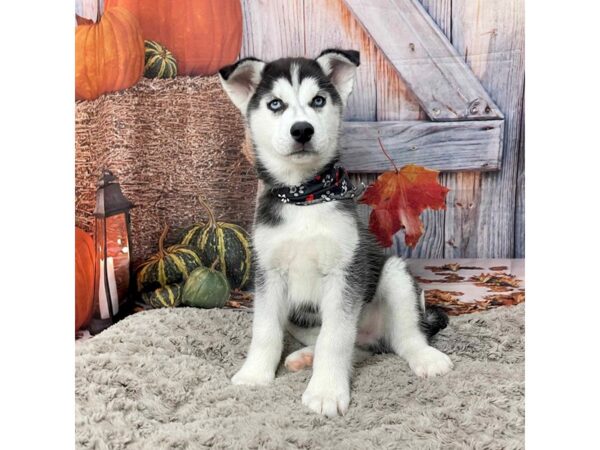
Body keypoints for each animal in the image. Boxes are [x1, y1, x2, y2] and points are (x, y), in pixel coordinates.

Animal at [218, 50, 452, 418]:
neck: (304, 197)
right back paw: (303, 357)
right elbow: (265, 330)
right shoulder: (268, 274)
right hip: (300, 317)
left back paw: (426, 358)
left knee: (403, 339)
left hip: (395, 275)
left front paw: (326, 390)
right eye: (275, 104)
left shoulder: (346, 272)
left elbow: (336, 337)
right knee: (356, 346)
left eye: (318, 100)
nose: (302, 129)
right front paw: (255, 374)